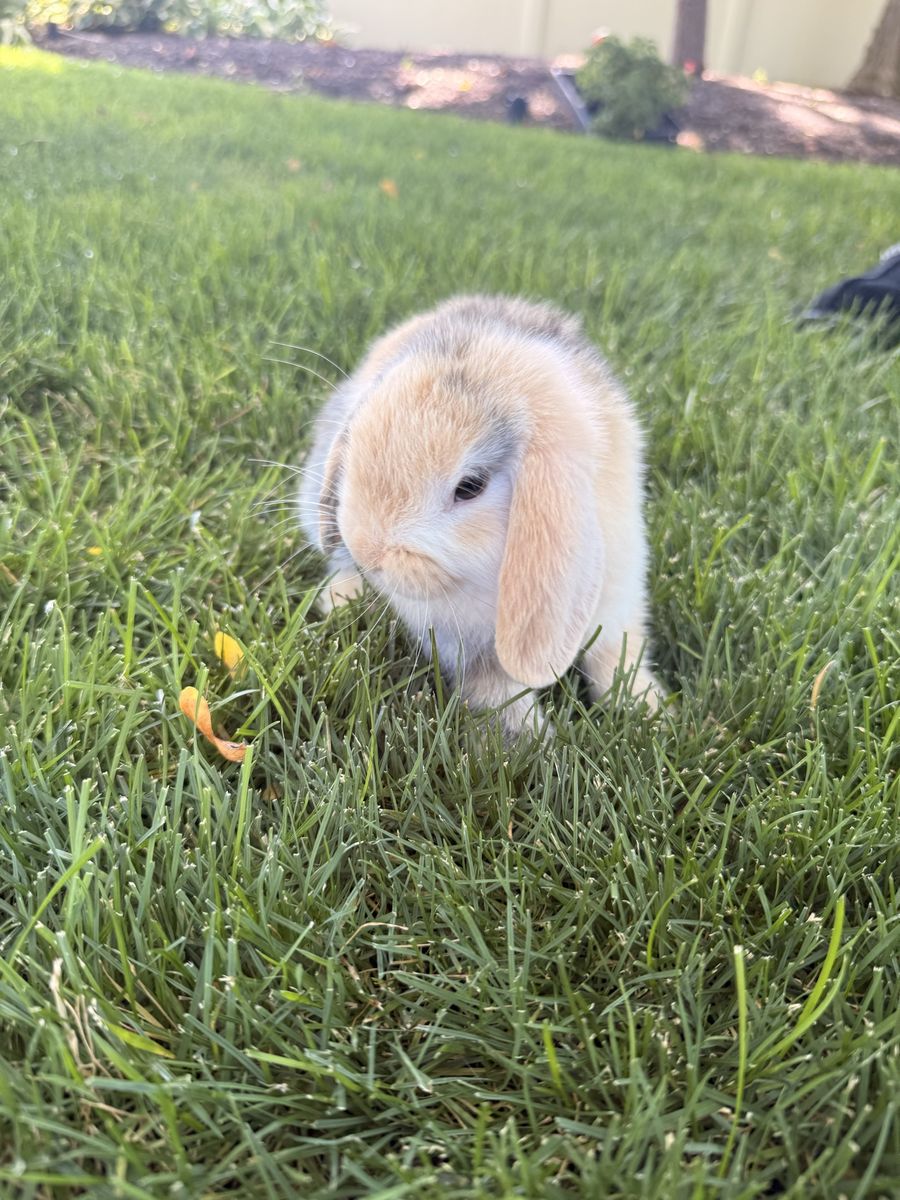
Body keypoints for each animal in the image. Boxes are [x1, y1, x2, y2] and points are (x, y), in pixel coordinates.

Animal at [297, 294, 664, 735]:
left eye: (471, 486)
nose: (369, 551)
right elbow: (497, 695)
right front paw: (534, 740)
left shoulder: (618, 600)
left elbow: (616, 657)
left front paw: (650, 710)